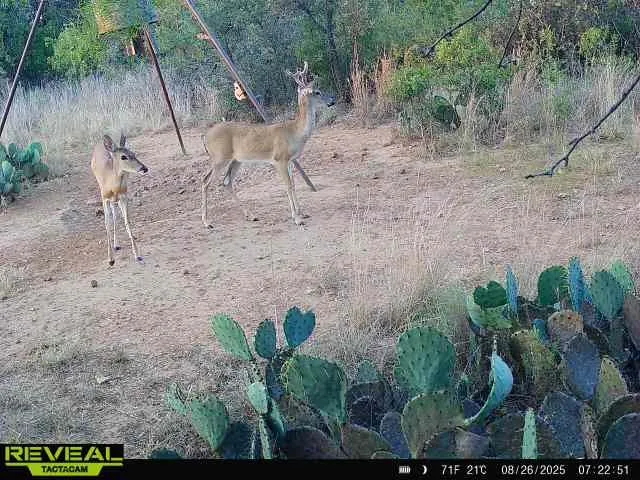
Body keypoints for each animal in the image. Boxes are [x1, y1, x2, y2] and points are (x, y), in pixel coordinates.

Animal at [90, 133, 148, 266]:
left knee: (116, 215)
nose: (144, 168)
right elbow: (107, 223)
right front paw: (111, 259)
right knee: (113, 216)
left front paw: (138, 255)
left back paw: (117, 245)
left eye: (133, 153)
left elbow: (127, 221)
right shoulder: (104, 198)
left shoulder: (123, 196)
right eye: (123, 156)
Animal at [200, 61, 335, 228]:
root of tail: (205, 136)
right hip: (219, 158)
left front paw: (302, 213)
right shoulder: (279, 159)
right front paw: (297, 218)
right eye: (317, 92)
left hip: (236, 160)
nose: (332, 100)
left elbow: (294, 184)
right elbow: (288, 185)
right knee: (206, 182)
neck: (295, 132)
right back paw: (207, 222)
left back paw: (250, 215)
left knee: (226, 182)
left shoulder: (290, 160)